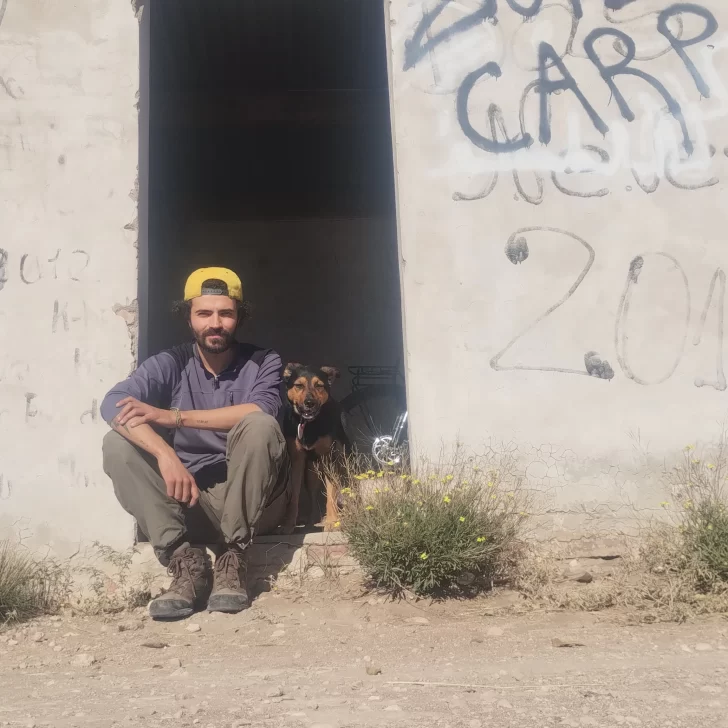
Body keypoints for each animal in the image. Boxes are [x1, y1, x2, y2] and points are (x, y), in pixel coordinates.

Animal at [278, 362, 348, 536]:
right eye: (298, 385)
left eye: (319, 386)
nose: (310, 403)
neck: (309, 424)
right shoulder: (297, 460)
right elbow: (294, 495)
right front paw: (288, 525)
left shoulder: (330, 458)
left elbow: (331, 493)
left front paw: (332, 522)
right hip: (311, 471)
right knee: (313, 493)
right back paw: (311, 522)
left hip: (343, 459)